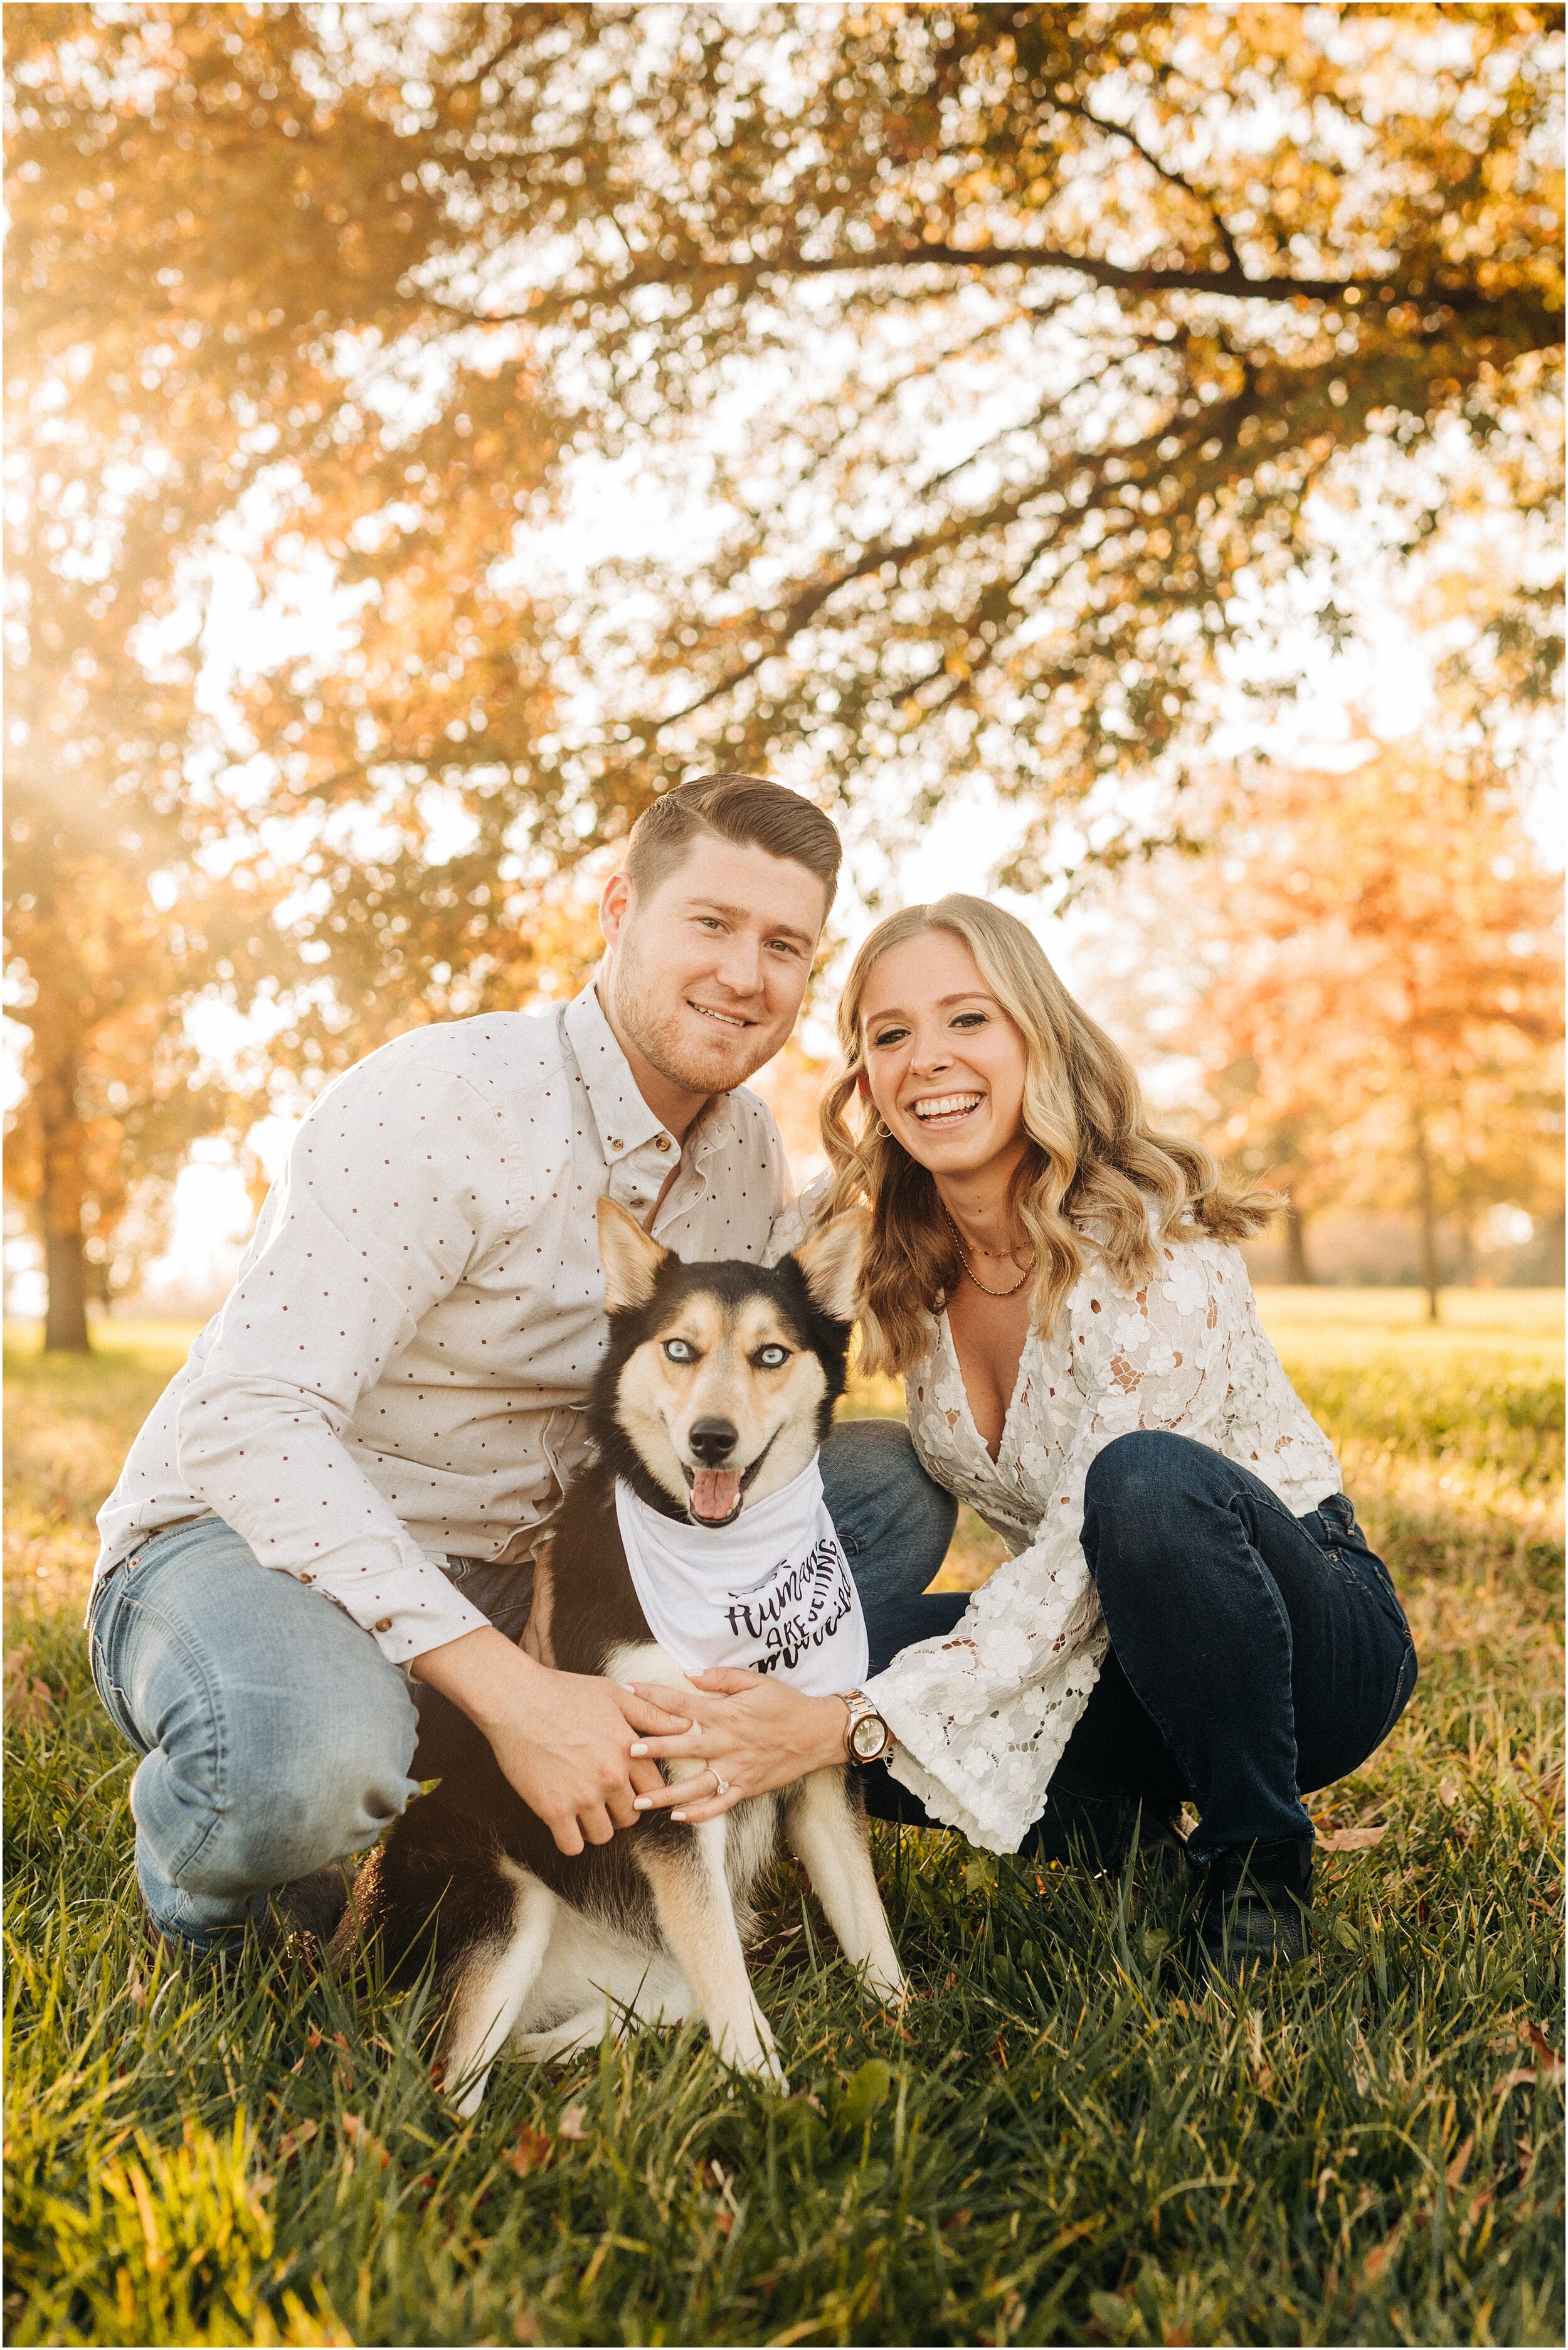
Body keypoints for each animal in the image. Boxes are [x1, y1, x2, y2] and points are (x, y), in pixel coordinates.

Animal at [343, 1193, 907, 2115]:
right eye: (679, 1348)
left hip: (637, 1974)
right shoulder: (666, 1791)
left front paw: (909, 2032)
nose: (712, 1438)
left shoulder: (812, 1769)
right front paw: (768, 2091)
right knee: (449, 2088)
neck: (716, 1559)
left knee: (600, 2022)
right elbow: (730, 1980)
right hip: (504, 1907)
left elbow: (868, 1930)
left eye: (771, 1354)